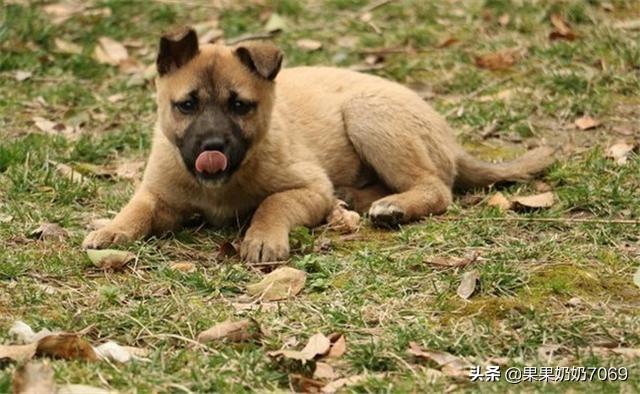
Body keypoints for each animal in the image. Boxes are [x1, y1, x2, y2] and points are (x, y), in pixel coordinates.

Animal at [82, 26, 556, 262]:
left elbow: (273, 203)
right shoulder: (158, 193)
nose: (211, 147)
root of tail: (449, 137)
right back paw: (355, 199)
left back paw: (393, 207)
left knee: (436, 188)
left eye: (240, 106)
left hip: (367, 114)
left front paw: (262, 238)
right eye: (186, 105)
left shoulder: (308, 187)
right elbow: (138, 207)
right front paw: (113, 228)